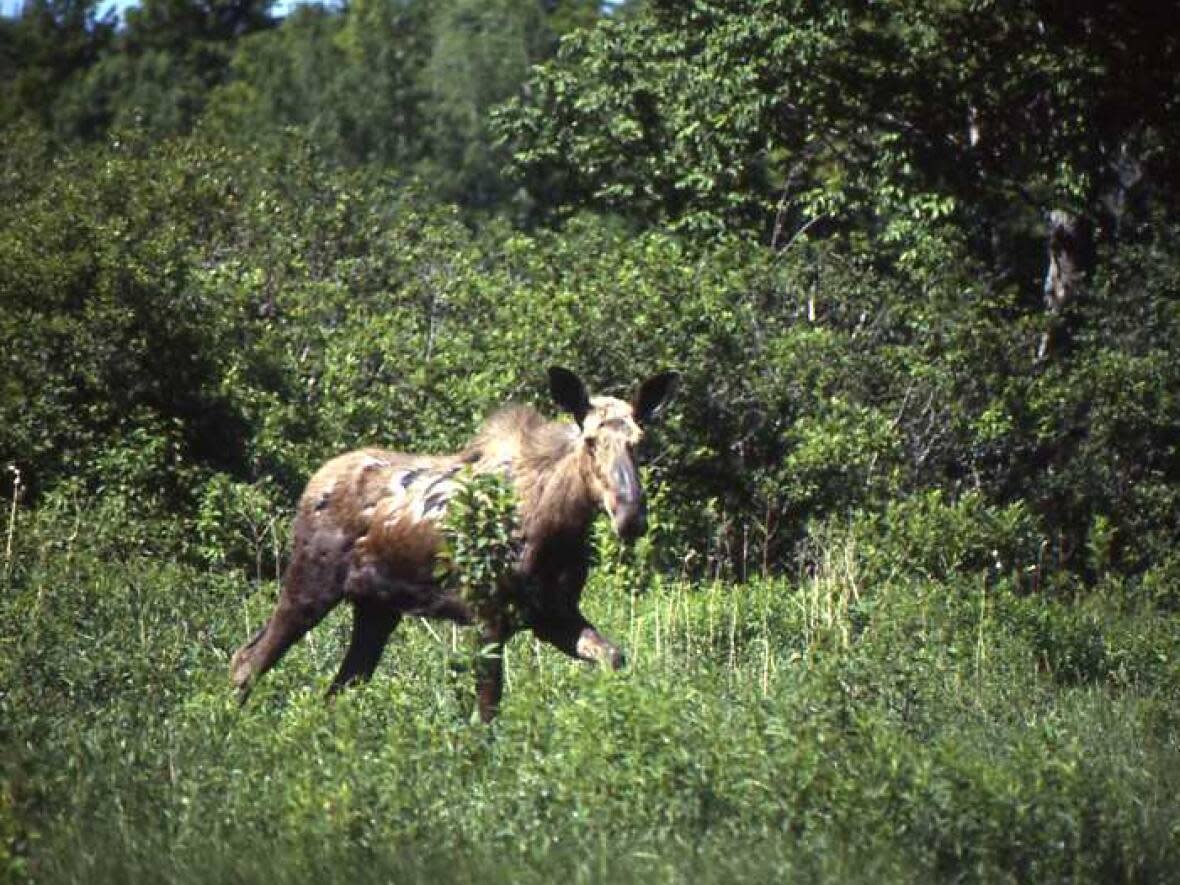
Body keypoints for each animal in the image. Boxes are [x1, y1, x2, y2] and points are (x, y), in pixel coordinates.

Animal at [230, 368, 679, 722]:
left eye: (640, 442)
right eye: (589, 442)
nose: (631, 516)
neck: (557, 530)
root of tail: (311, 484)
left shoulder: (552, 614)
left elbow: (614, 657)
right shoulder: (488, 617)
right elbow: (486, 714)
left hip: (377, 609)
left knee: (338, 688)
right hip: (310, 586)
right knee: (247, 661)